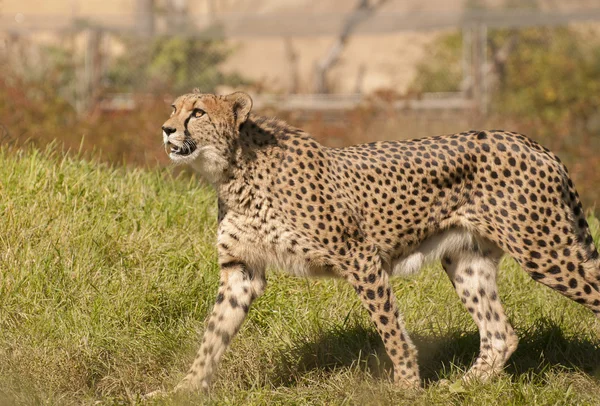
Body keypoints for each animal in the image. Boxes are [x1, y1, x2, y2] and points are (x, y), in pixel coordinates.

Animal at [158, 90, 600, 392]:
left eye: (197, 112)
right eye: (173, 108)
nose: (166, 129)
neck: (233, 170)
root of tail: (530, 142)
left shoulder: (361, 257)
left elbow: (390, 330)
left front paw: (406, 388)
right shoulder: (242, 270)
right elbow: (214, 334)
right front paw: (184, 389)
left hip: (545, 251)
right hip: (467, 260)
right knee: (499, 334)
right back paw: (461, 388)